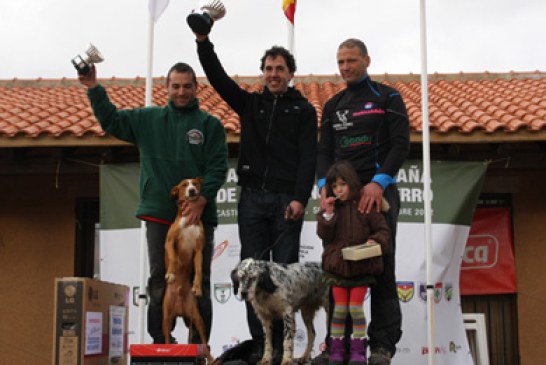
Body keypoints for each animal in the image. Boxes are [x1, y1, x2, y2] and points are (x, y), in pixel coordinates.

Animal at [160, 176, 211, 362]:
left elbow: (198, 269)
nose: (192, 191)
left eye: (194, 184)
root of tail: (180, 310)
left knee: (204, 344)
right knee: (167, 340)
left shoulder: (199, 251)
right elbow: (174, 258)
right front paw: (171, 273)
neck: (189, 219)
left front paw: (197, 287)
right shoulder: (169, 243)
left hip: (197, 319)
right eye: (183, 185)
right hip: (166, 319)